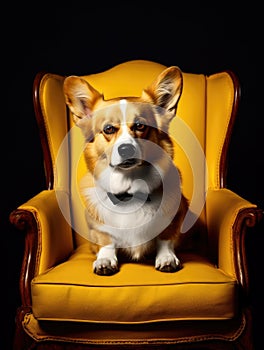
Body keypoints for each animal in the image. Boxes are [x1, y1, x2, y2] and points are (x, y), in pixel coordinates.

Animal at [63, 65, 189, 274]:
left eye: (140, 125)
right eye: (108, 129)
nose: (126, 149)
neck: (129, 189)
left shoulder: (177, 215)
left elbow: (166, 237)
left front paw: (167, 258)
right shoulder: (97, 226)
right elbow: (106, 240)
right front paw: (105, 259)